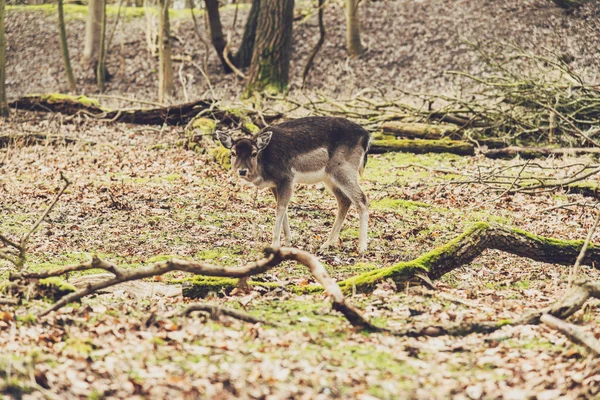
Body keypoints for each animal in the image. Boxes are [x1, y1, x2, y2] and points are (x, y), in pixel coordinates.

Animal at [216, 116, 370, 253]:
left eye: (254, 153)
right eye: (233, 153)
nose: (242, 171)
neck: (264, 167)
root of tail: (366, 136)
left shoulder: (286, 177)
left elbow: (280, 209)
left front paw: (275, 245)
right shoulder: (274, 184)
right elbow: (282, 209)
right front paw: (288, 241)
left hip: (344, 169)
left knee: (361, 199)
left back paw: (362, 247)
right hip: (329, 177)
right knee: (344, 200)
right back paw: (327, 244)